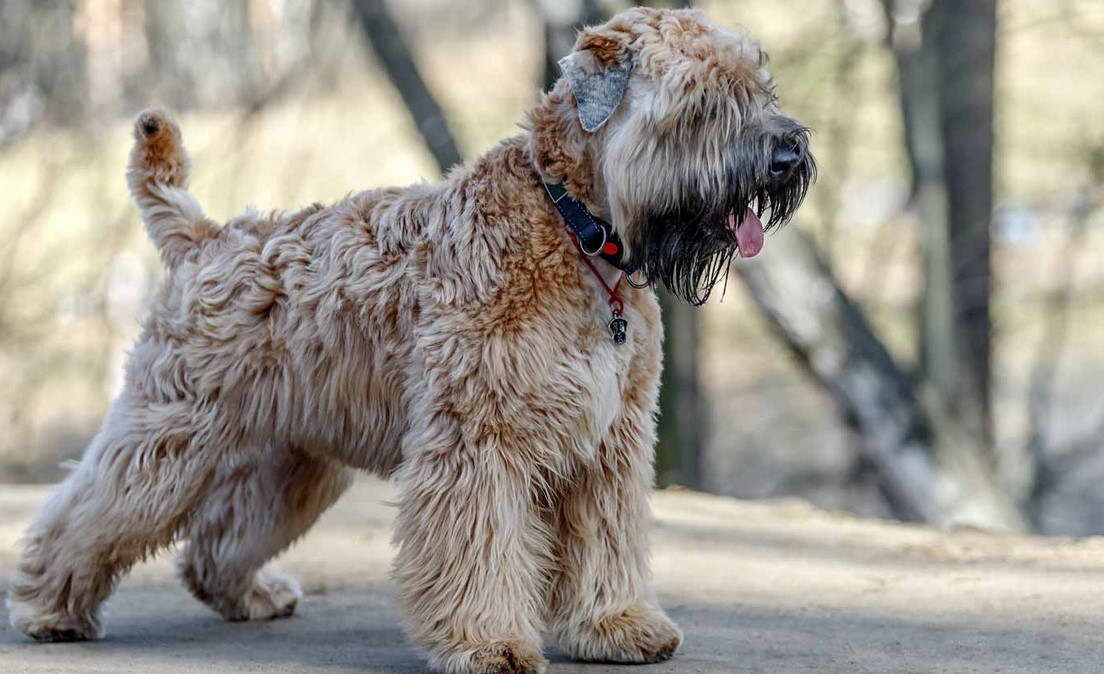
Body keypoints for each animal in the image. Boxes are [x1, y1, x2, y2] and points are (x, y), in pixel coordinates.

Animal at [6, 6, 812, 674]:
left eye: (758, 85)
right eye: (701, 100)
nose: (788, 155)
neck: (576, 231)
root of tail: (204, 237)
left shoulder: (608, 443)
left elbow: (604, 542)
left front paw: (614, 625)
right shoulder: (479, 439)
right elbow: (479, 549)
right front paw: (488, 643)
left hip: (292, 459)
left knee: (219, 539)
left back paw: (251, 595)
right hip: (170, 434)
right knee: (89, 512)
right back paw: (49, 608)